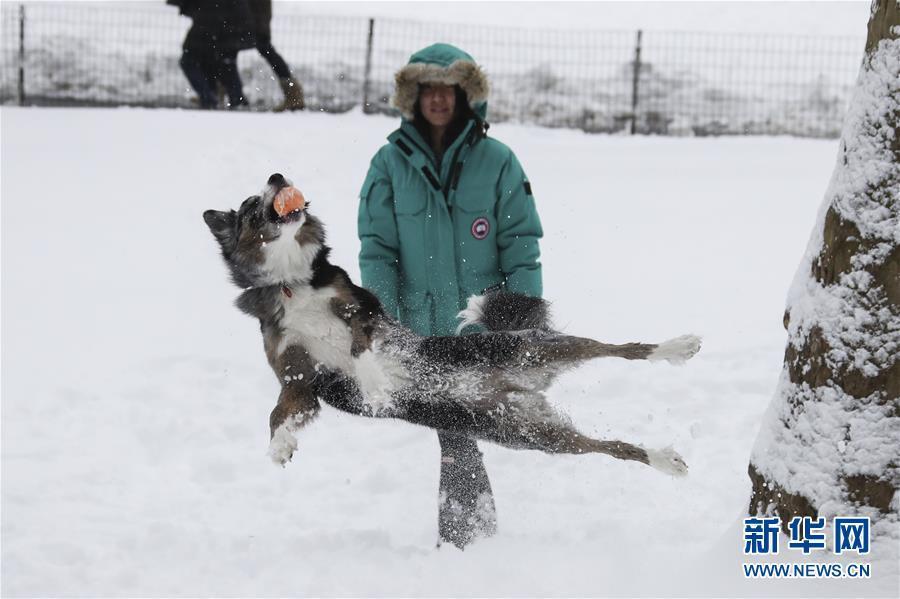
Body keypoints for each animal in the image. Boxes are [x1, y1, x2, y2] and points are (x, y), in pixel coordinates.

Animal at [206, 175, 704, 478]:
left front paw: (376, 386)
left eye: (260, 191)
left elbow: (359, 348)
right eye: (250, 206)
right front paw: (280, 447)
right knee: (609, 447)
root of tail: (520, 390)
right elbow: (278, 412)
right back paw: (663, 459)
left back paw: (676, 348)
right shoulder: (300, 379)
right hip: (539, 435)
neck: (291, 282)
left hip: (532, 348)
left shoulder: (364, 312)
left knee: (617, 347)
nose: (276, 176)